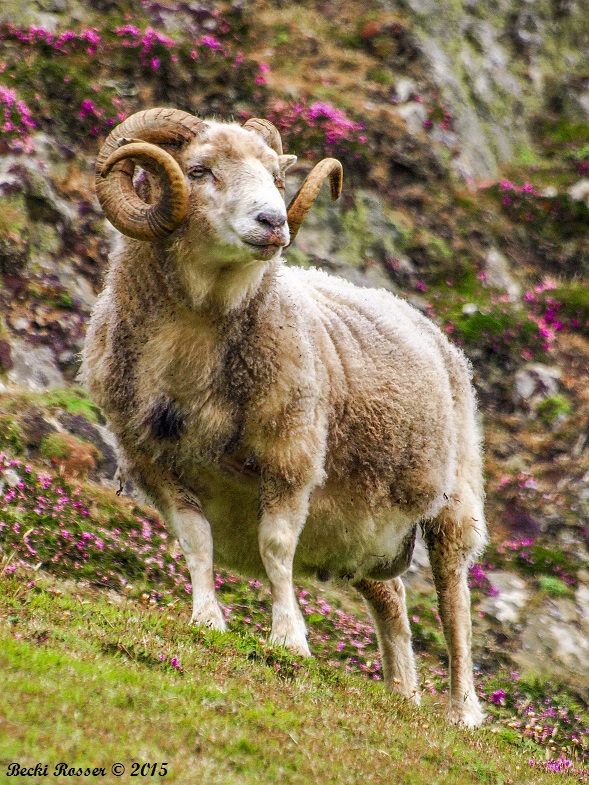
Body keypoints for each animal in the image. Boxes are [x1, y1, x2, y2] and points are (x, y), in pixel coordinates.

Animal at [82, 107, 487, 727]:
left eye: (275, 174)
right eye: (198, 170)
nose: (273, 222)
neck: (194, 337)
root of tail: (428, 326)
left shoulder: (290, 455)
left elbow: (275, 548)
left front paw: (290, 641)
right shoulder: (157, 465)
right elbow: (196, 541)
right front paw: (207, 619)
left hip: (453, 501)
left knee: (454, 600)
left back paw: (462, 710)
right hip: (363, 531)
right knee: (392, 602)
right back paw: (402, 693)